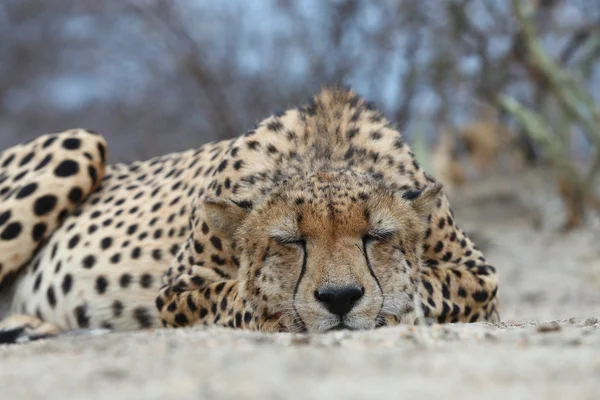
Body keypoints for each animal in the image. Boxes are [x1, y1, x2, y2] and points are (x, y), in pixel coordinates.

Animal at [0, 86, 496, 340]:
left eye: (376, 237)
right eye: (290, 242)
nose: (339, 298)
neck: (324, 150)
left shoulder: (480, 275)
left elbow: (427, 285)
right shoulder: (178, 288)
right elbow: (231, 295)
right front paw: (275, 308)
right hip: (80, 142)